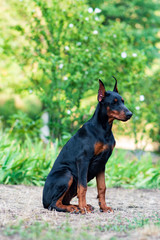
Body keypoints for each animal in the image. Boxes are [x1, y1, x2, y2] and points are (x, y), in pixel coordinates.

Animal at [42, 78, 132, 214]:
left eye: (123, 101)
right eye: (114, 102)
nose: (130, 114)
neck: (104, 129)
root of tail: (43, 201)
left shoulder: (102, 163)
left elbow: (102, 187)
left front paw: (104, 207)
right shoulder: (83, 160)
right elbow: (83, 187)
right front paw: (83, 207)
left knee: (63, 201)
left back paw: (78, 206)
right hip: (67, 174)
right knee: (53, 204)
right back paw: (75, 208)